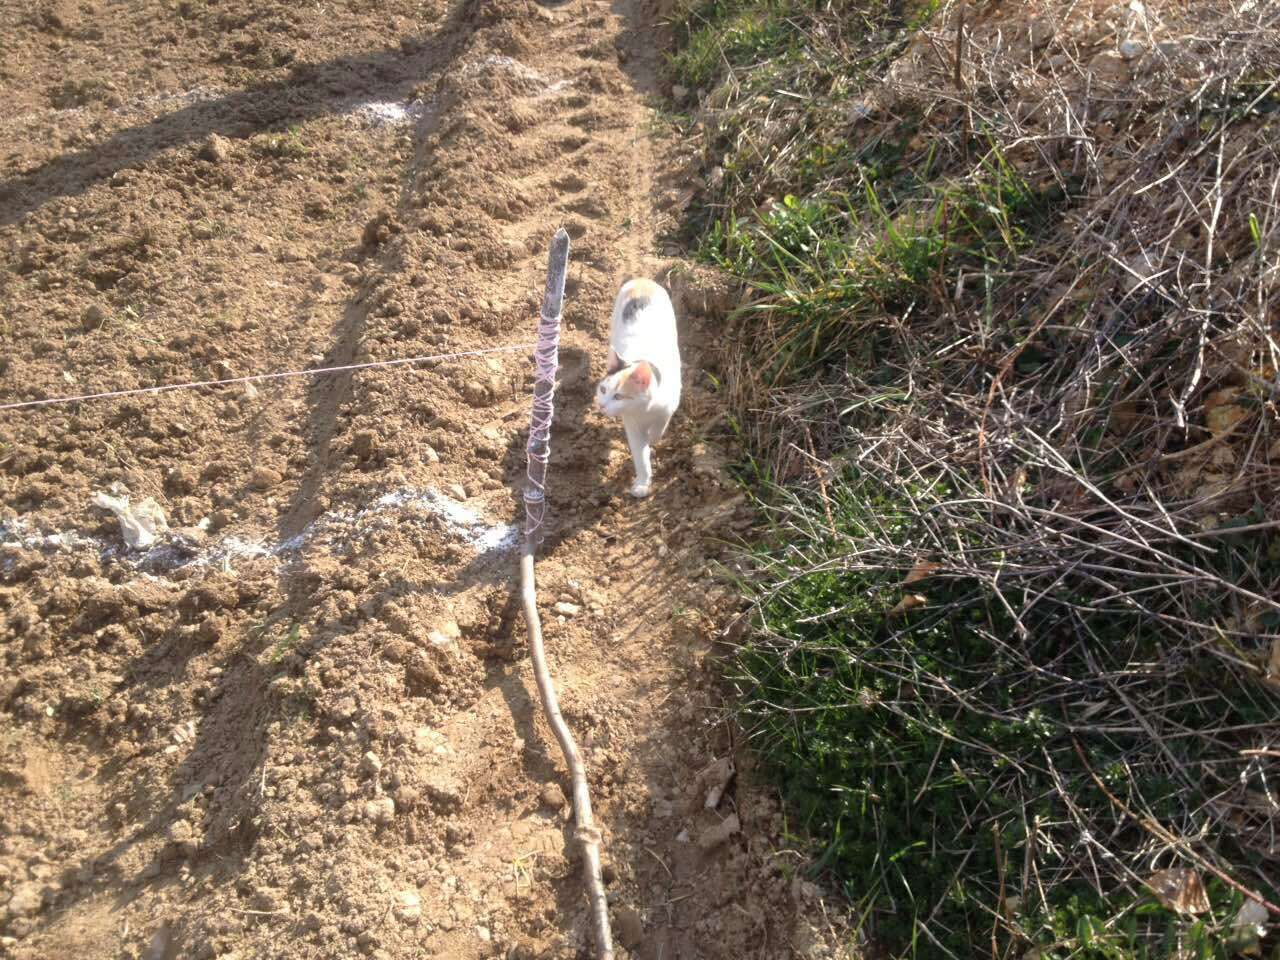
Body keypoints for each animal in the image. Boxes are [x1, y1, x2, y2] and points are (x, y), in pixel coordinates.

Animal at [596, 277, 686, 499]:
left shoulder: (669, 406)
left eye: (619, 397)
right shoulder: (632, 424)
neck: (644, 410)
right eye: (603, 390)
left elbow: (660, 425)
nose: (601, 406)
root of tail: (642, 280)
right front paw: (643, 483)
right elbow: (640, 454)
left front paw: (653, 438)